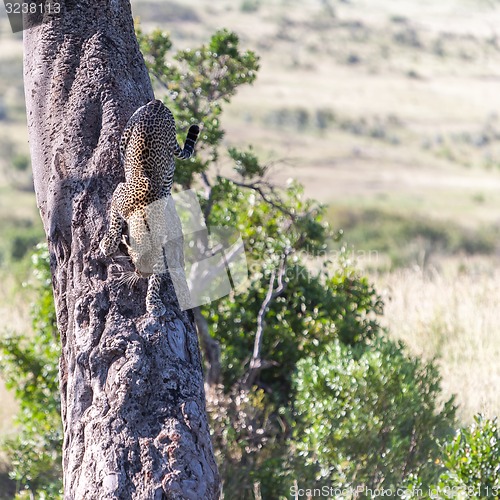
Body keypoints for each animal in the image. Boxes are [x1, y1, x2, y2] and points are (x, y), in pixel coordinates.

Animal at [99, 98, 199, 316]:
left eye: (150, 267)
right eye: (134, 262)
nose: (141, 275)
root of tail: (159, 103)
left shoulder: (160, 253)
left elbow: (156, 281)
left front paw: (153, 302)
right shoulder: (118, 193)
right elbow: (115, 221)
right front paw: (109, 242)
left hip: (169, 165)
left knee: (168, 181)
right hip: (128, 131)